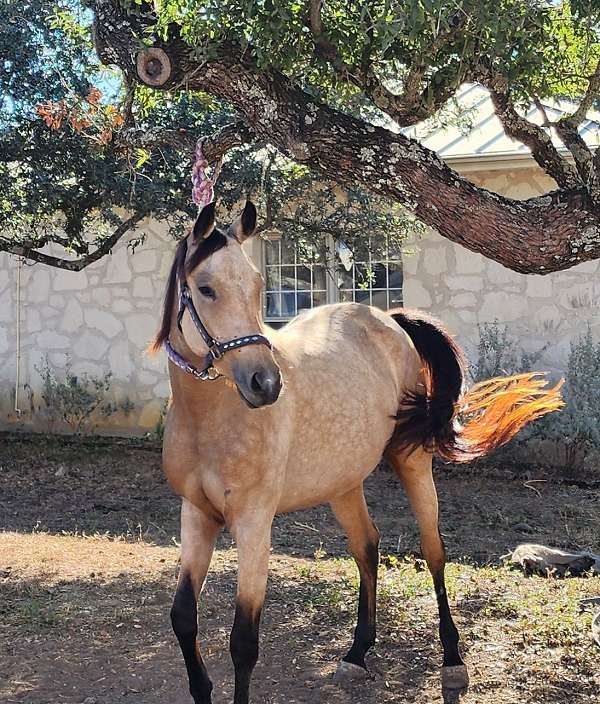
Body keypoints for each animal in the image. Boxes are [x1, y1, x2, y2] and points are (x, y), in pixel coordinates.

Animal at [154, 201, 564, 700]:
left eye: (255, 286)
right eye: (206, 288)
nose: (265, 383)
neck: (210, 419)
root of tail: (390, 321)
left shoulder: (253, 523)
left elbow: (243, 642)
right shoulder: (196, 514)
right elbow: (182, 617)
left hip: (412, 463)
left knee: (434, 552)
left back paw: (452, 660)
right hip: (343, 483)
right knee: (367, 546)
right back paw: (357, 652)